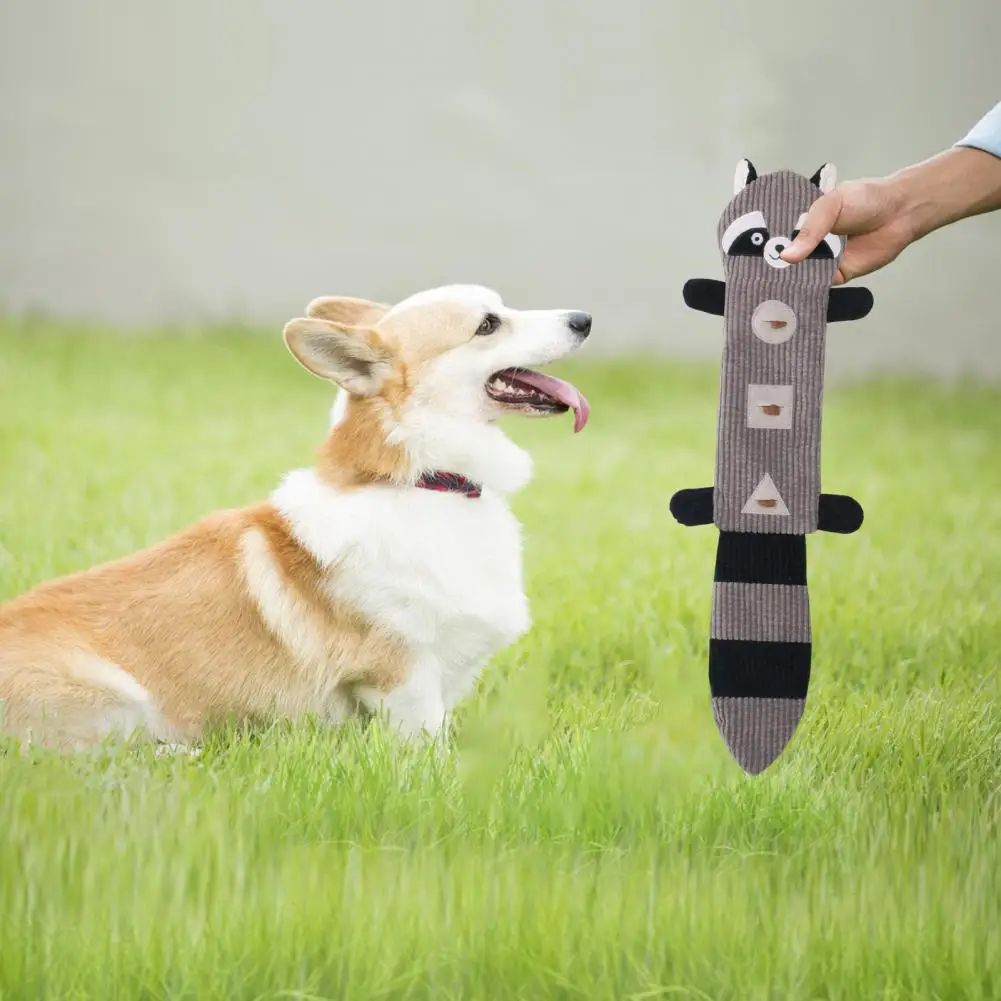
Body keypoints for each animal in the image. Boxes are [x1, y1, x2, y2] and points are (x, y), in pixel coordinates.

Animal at [0, 285, 591, 748]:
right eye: (487, 324)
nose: (584, 319)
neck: (425, 482)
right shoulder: (404, 679)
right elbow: (430, 752)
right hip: (120, 700)